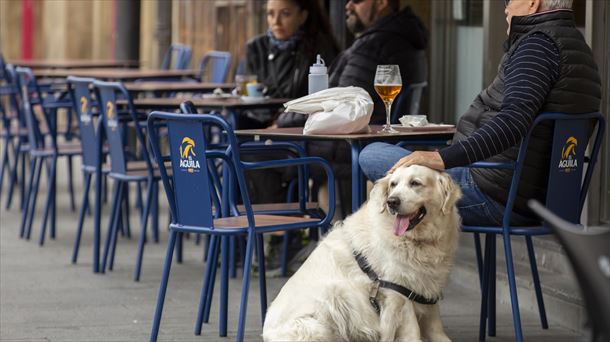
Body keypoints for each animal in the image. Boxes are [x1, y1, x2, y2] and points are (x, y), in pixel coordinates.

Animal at [262, 164, 460, 340]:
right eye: (393, 185)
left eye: (415, 183)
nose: (392, 202)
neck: (418, 241)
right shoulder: (398, 292)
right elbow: (413, 332)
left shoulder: (427, 287)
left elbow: (435, 327)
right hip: (329, 302)